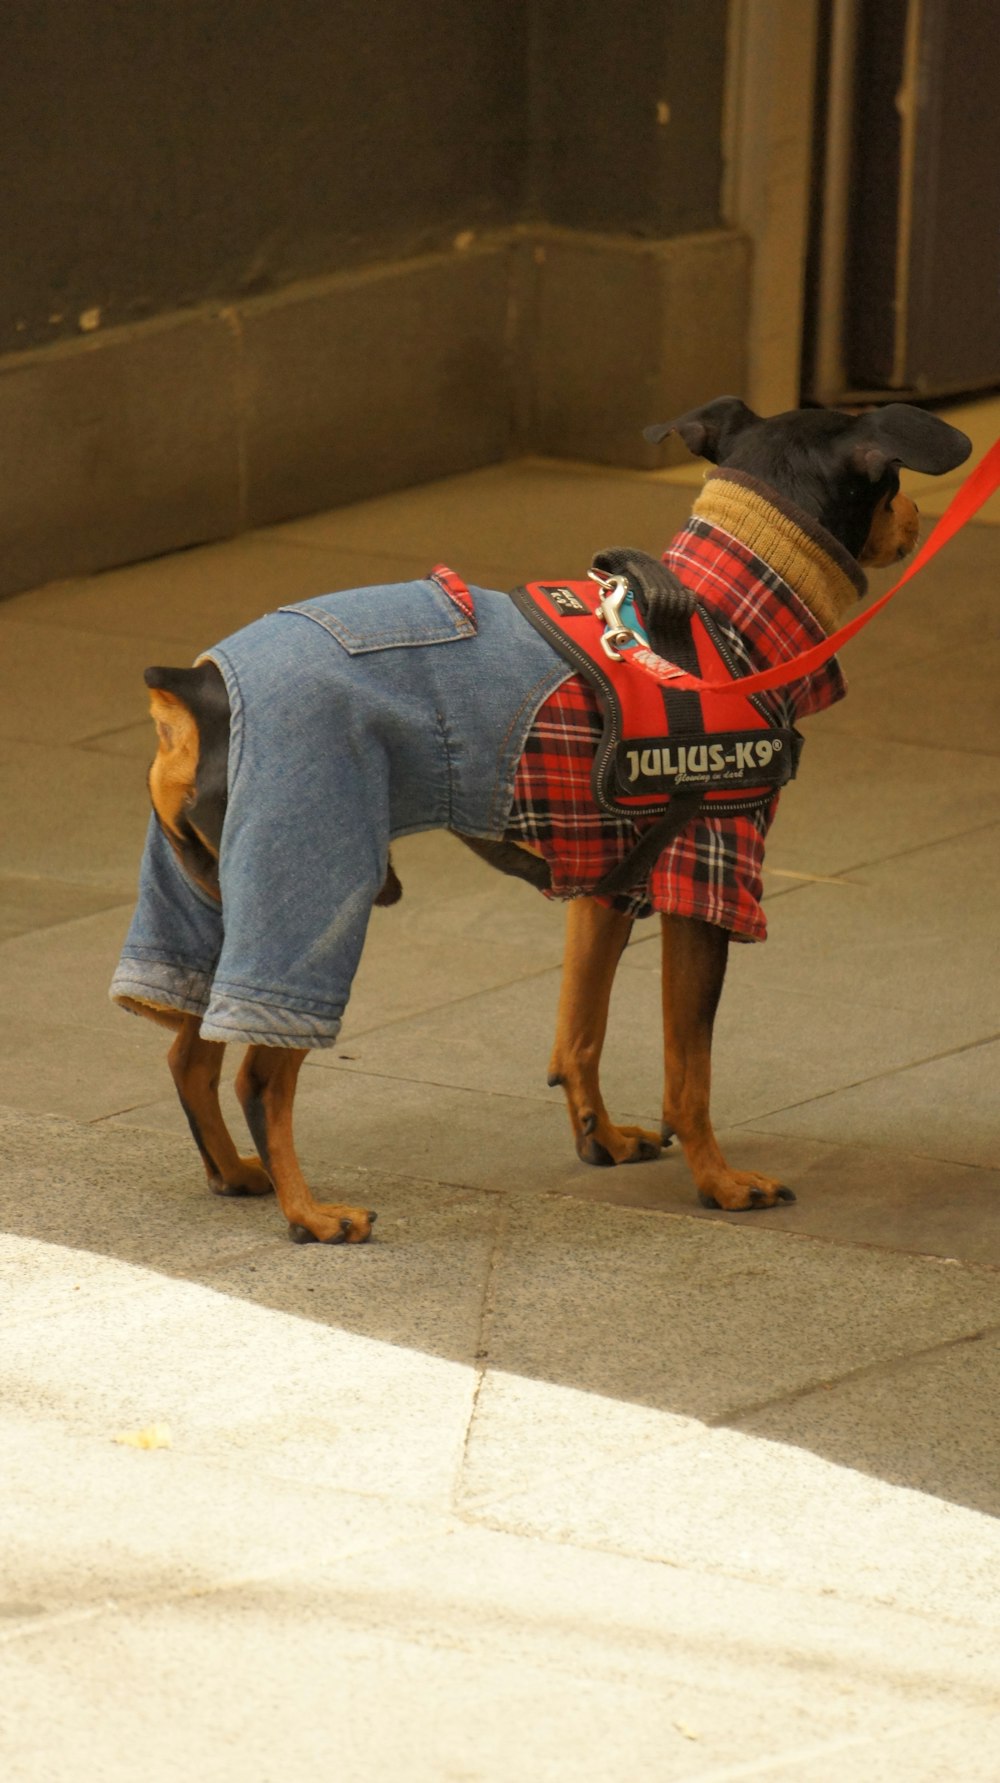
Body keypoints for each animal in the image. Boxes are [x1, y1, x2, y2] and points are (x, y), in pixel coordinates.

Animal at [109, 399, 969, 1248]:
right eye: (895, 483)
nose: (918, 517)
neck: (725, 612)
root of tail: (196, 690)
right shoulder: (709, 873)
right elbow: (688, 1070)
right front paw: (721, 1181)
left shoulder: (609, 882)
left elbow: (579, 1028)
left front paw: (602, 1137)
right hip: (311, 887)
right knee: (259, 1071)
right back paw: (311, 1212)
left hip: (211, 898)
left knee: (189, 1052)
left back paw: (235, 1173)